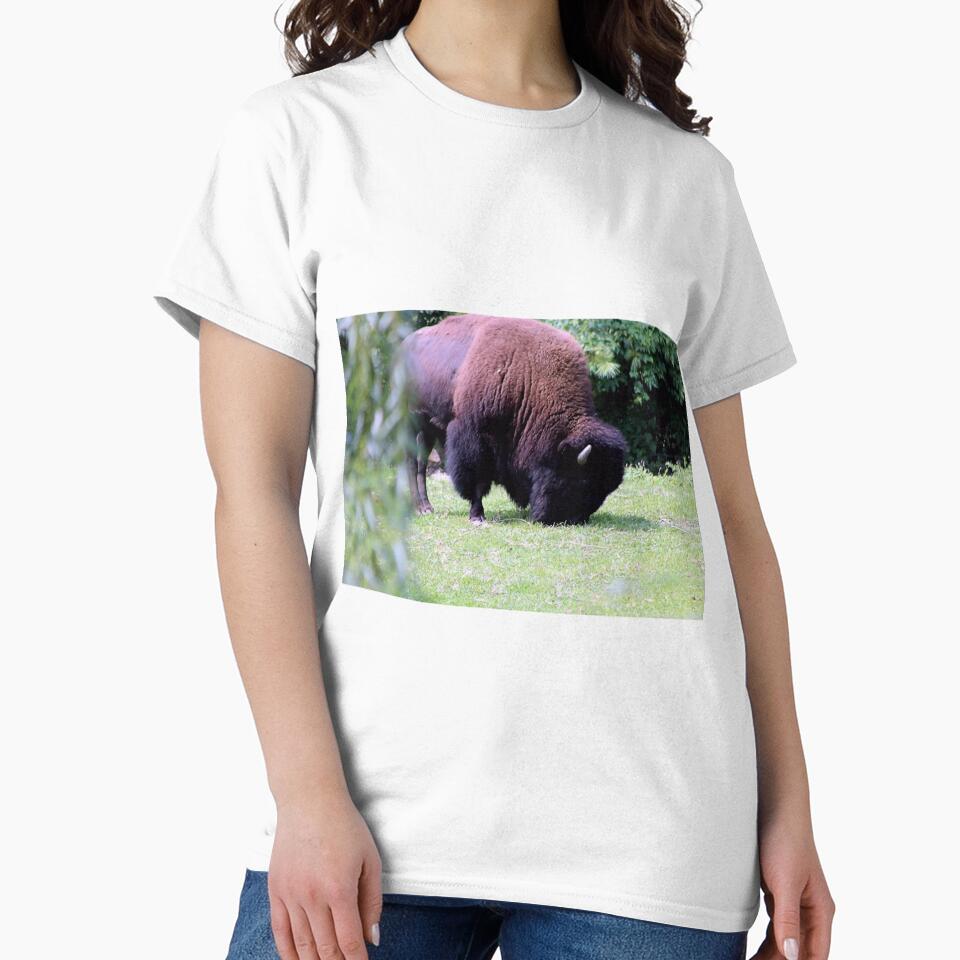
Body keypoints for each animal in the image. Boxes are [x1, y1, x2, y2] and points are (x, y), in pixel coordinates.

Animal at [401, 315, 627, 525]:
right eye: (583, 481)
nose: (573, 519)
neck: (529, 374)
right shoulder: (474, 437)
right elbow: (477, 479)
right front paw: (477, 516)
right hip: (412, 422)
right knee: (412, 463)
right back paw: (420, 508)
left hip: (429, 429)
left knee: (421, 464)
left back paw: (427, 507)